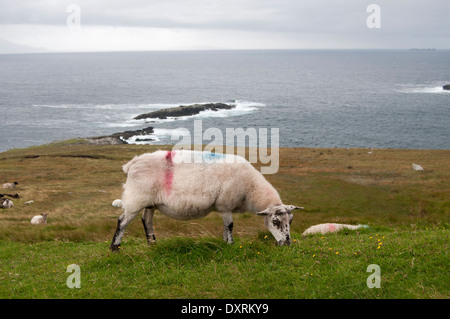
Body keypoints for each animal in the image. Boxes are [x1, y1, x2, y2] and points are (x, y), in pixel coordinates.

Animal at [110, 150, 304, 252]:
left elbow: (225, 226)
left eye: (291, 221)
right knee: (122, 221)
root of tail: (132, 163)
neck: (250, 188)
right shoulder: (226, 203)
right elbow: (230, 225)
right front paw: (231, 245)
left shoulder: (224, 206)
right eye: (275, 221)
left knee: (147, 220)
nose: (287, 244)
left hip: (150, 202)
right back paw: (115, 247)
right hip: (137, 198)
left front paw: (225, 242)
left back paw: (153, 244)